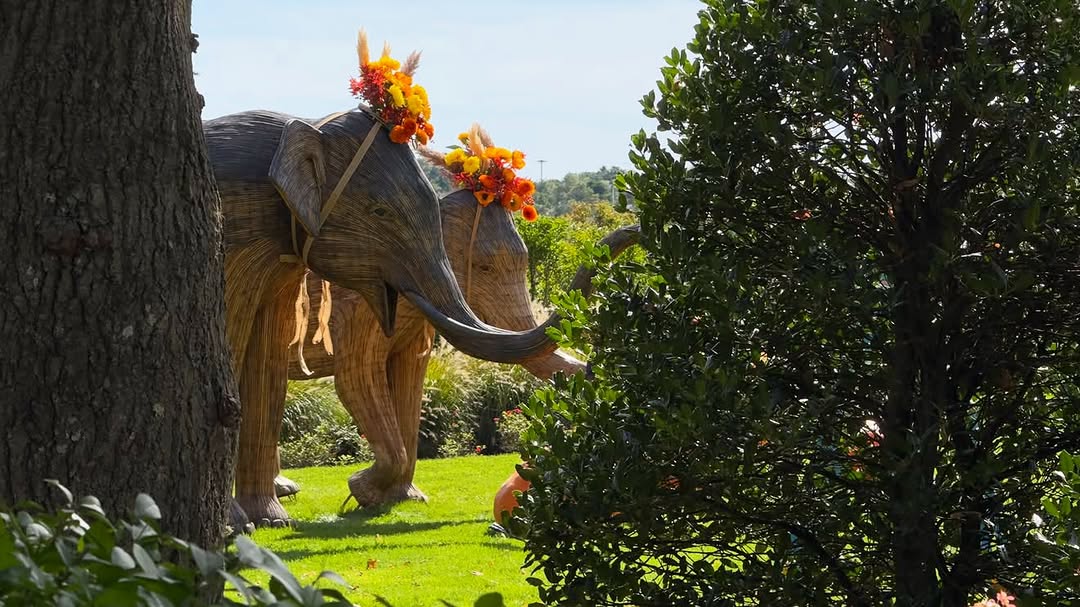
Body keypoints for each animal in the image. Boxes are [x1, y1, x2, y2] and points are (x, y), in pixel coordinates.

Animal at [204, 109, 563, 525]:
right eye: (484, 267)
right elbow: (355, 376)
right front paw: (361, 491)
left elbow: (410, 381)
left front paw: (403, 499)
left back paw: (283, 496)